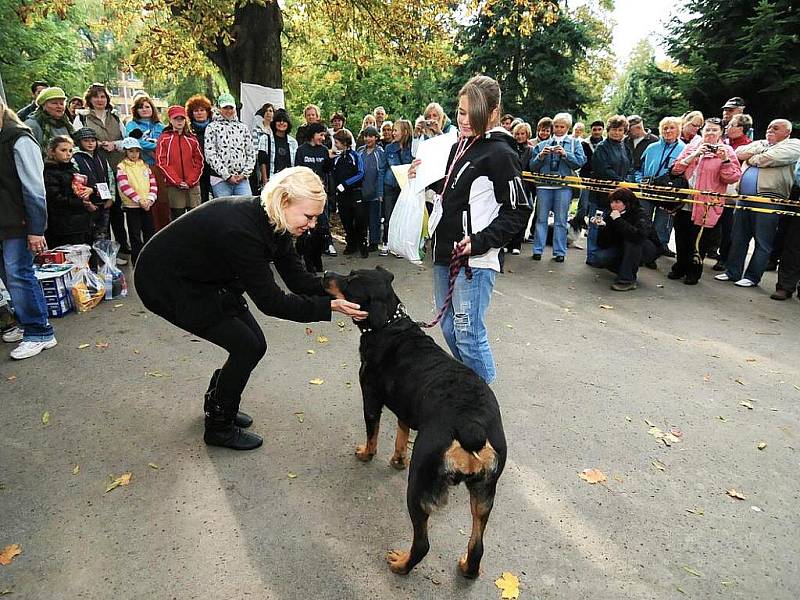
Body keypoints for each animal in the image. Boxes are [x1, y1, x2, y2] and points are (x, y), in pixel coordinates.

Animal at [324, 266, 506, 576]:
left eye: (350, 281)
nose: (324, 273)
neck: (388, 325)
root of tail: (472, 426)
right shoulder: (406, 408)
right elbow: (401, 432)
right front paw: (398, 459)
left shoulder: (370, 398)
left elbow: (372, 432)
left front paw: (366, 454)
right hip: (484, 495)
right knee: (477, 545)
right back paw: (467, 567)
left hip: (420, 483)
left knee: (422, 544)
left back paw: (401, 564)